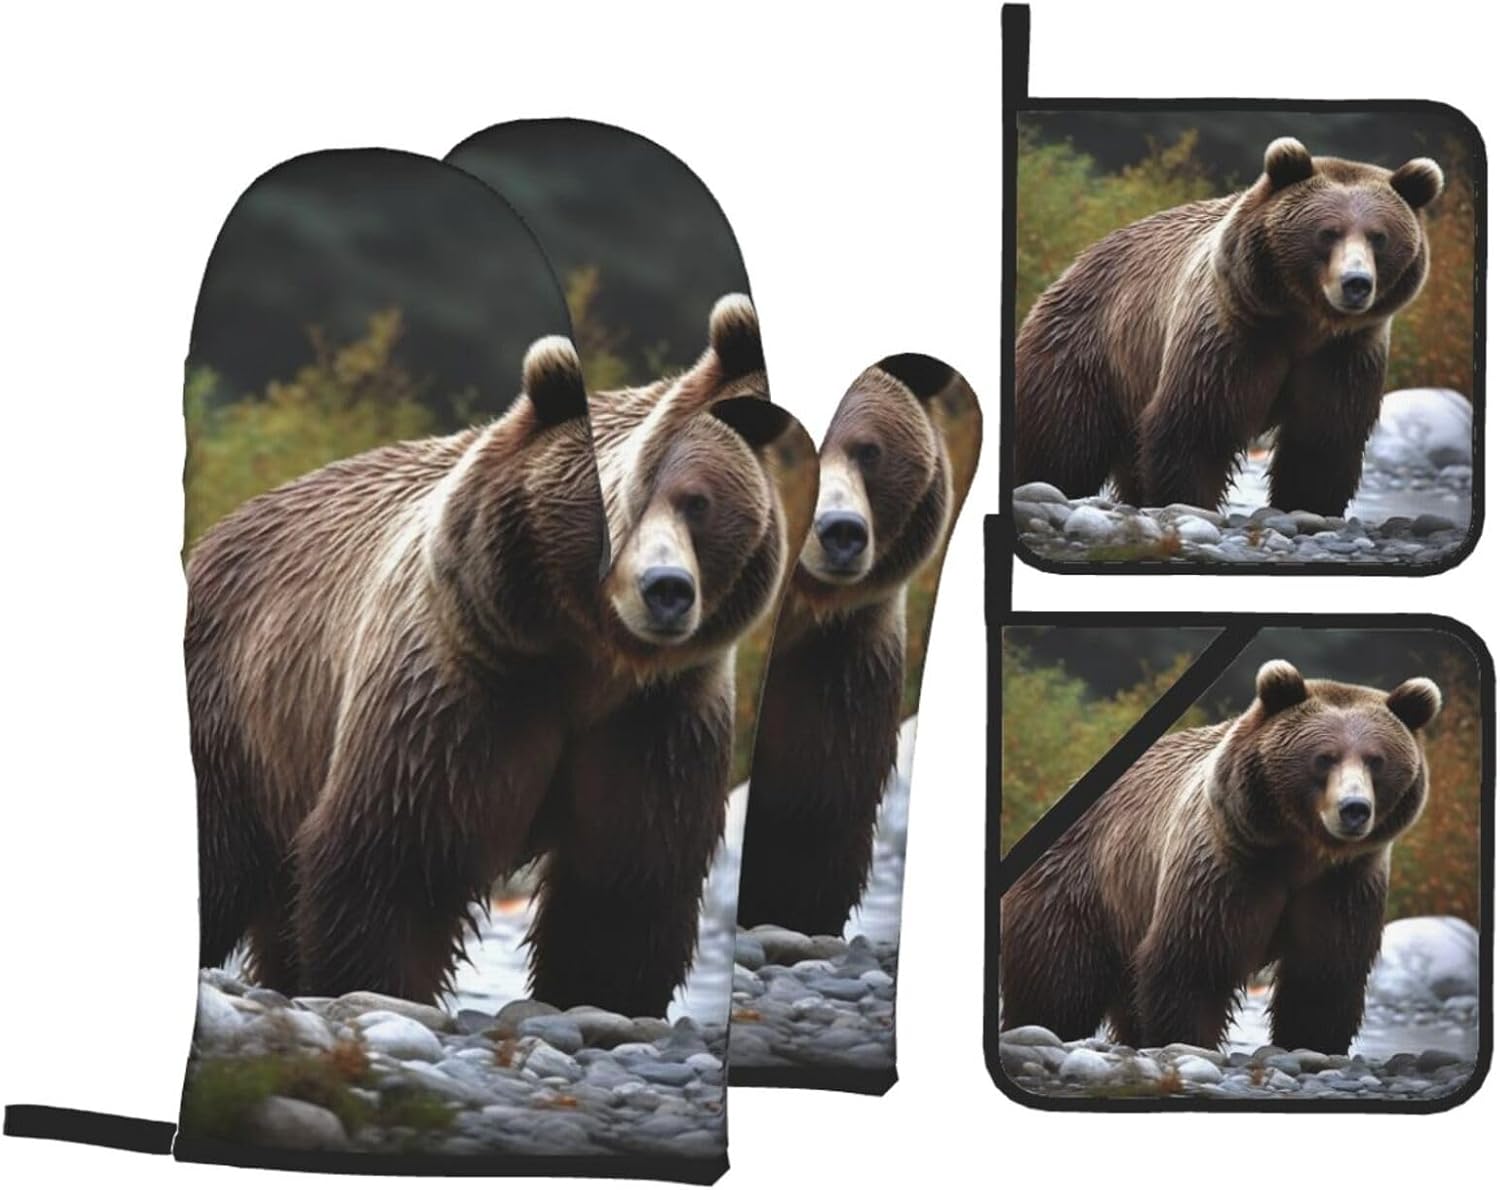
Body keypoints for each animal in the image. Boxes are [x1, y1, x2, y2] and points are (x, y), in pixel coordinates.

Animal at [189, 294, 797, 1017]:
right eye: (605, 511)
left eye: (697, 501)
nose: (666, 590)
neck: (587, 661)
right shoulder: (460, 688)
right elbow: (397, 856)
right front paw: (378, 985)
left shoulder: (655, 717)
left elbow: (625, 882)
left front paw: (600, 996)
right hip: (239, 714)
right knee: (219, 853)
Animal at [1000, 660, 1442, 1055]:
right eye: (1324, 757)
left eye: (1376, 760)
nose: (1354, 809)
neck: (1299, 851)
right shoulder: (1226, 866)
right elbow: (1194, 961)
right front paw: (1186, 1040)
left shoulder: (1343, 883)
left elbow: (1324, 973)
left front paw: (1312, 1044)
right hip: (1080, 889)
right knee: (1058, 985)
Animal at [1015, 137, 1445, 515]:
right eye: (1328, 232)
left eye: (1379, 237)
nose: (1356, 283)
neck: (1303, 321)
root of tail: (1072, 267)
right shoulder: (1232, 333)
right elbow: (1196, 424)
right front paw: (1188, 502)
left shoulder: (1343, 352)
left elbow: (1323, 439)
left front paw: (1308, 507)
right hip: (1085, 353)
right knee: (1064, 446)